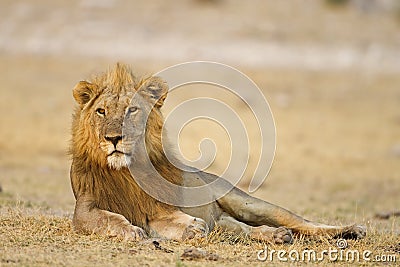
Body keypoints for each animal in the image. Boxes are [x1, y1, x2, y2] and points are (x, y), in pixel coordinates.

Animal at [69, 63, 366, 245]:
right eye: (101, 111)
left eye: (132, 110)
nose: (113, 138)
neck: (125, 171)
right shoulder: (85, 205)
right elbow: (105, 219)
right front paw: (131, 230)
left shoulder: (158, 205)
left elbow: (167, 218)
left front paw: (190, 227)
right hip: (226, 221)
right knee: (246, 230)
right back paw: (276, 236)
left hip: (249, 203)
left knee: (305, 224)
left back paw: (351, 230)